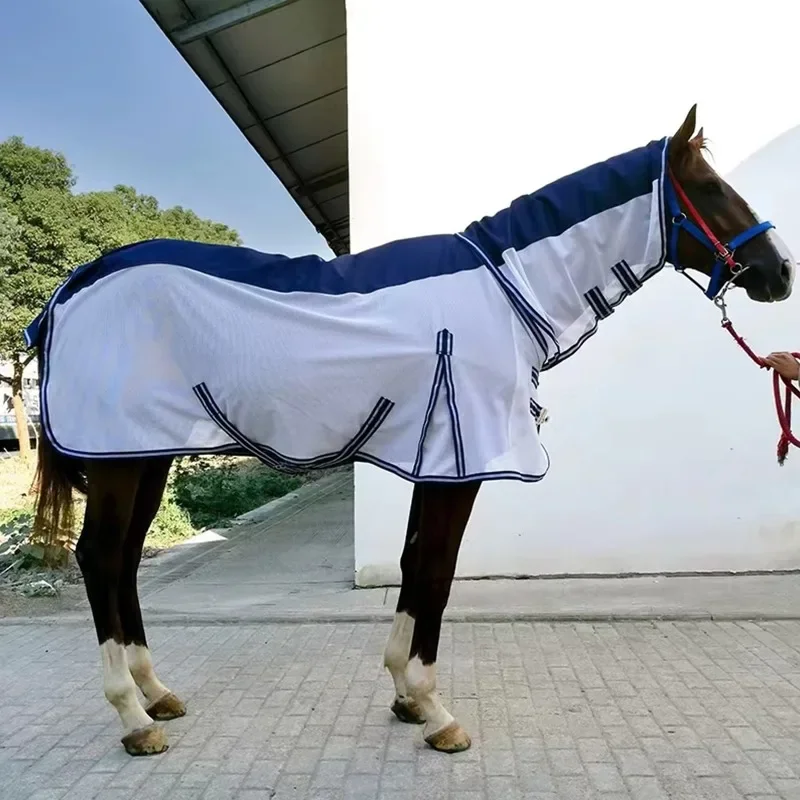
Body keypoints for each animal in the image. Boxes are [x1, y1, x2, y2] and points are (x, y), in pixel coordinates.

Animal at [28, 105, 795, 757]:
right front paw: (434, 710)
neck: (505, 291)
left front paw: (403, 694)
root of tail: (71, 287)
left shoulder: (439, 463)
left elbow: (412, 563)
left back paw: (156, 694)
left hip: (144, 454)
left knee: (126, 559)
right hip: (122, 460)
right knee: (100, 557)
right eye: (712, 189)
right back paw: (132, 717)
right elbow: (436, 572)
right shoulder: (463, 465)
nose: (779, 273)